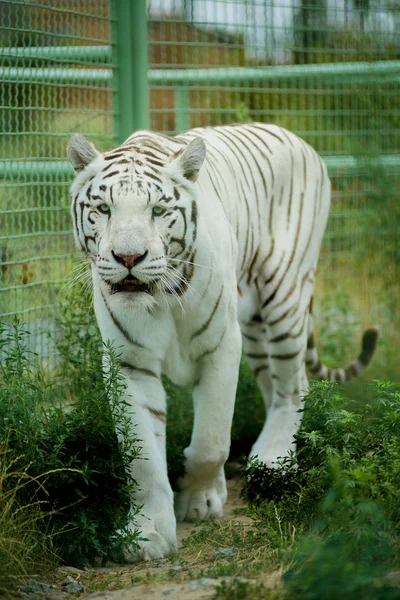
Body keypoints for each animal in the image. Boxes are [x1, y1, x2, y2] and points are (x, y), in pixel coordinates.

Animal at [66, 122, 378, 564]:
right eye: (104, 209)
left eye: (157, 211)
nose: (128, 258)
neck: (161, 297)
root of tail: (296, 137)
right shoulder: (128, 363)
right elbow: (142, 457)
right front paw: (147, 534)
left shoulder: (220, 347)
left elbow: (210, 440)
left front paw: (200, 501)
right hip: (254, 324)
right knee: (273, 384)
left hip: (283, 295)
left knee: (293, 384)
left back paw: (273, 461)